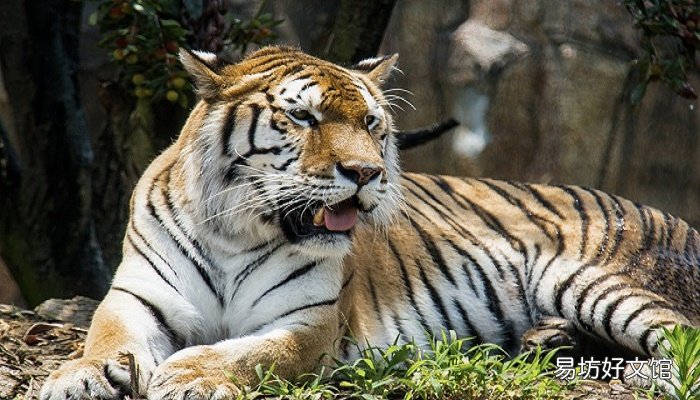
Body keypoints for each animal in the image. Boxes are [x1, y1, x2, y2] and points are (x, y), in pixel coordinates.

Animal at [40, 46, 700, 400]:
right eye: (302, 118)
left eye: (372, 124)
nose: (365, 172)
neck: (238, 232)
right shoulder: (138, 296)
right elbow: (105, 336)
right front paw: (78, 377)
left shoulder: (308, 323)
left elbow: (246, 354)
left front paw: (189, 376)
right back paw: (547, 340)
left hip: (598, 282)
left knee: (681, 337)